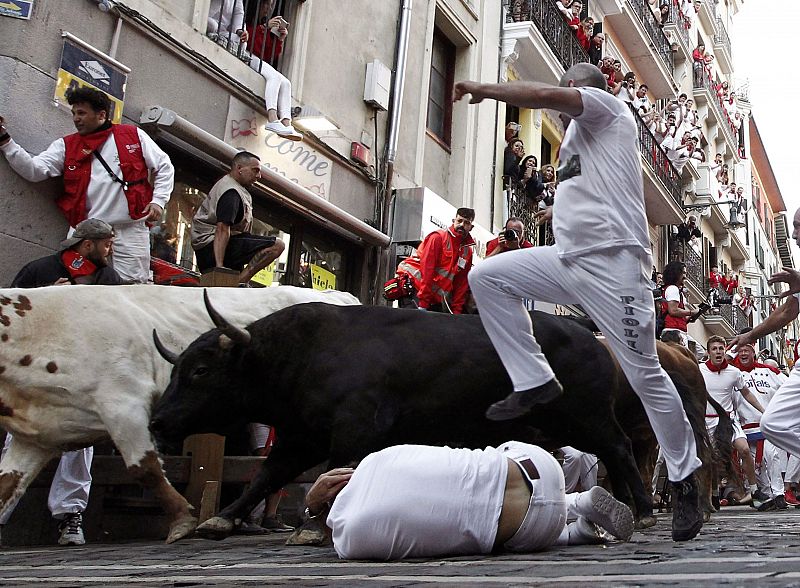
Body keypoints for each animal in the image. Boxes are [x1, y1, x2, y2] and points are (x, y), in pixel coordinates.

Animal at [150, 300, 724, 540]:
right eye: (177, 367)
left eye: (200, 369)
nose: (157, 423)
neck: (303, 352)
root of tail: (589, 336)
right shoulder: (299, 436)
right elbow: (266, 475)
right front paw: (220, 520)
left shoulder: (353, 429)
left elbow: (333, 472)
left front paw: (311, 528)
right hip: (574, 427)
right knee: (617, 456)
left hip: (590, 419)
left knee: (624, 453)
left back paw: (647, 511)